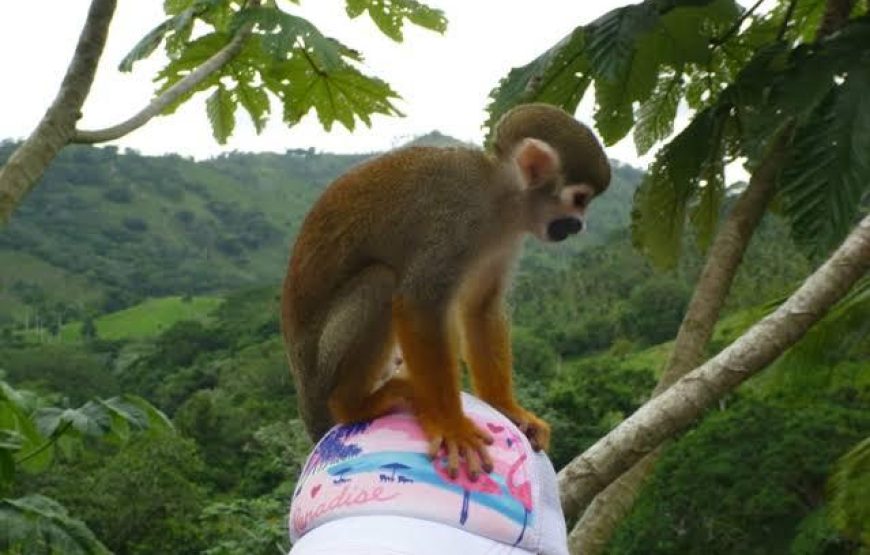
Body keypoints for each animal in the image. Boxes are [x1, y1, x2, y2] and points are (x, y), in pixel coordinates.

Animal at [281, 103, 610, 478]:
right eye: (580, 199)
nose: (580, 225)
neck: (499, 200)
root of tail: (307, 403)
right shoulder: (455, 218)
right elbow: (420, 303)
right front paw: (452, 425)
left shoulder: (509, 236)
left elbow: (480, 307)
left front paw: (508, 408)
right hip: (322, 368)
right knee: (381, 281)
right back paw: (352, 405)